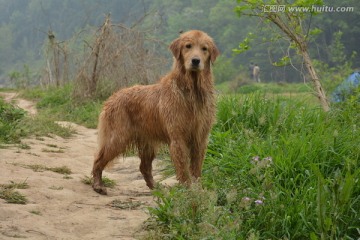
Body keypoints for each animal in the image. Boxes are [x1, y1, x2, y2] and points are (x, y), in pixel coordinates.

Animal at [90, 30, 219, 195]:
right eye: (188, 46)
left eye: (204, 49)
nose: (195, 61)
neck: (191, 91)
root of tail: (112, 98)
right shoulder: (178, 138)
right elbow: (183, 169)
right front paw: (188, 191)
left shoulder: (200, 138)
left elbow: (196, 169)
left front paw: (198, 189)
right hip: (118, 138)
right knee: (98, 160)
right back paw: (98, 185)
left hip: (148, 142)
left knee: (144, 167)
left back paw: (157, 188)